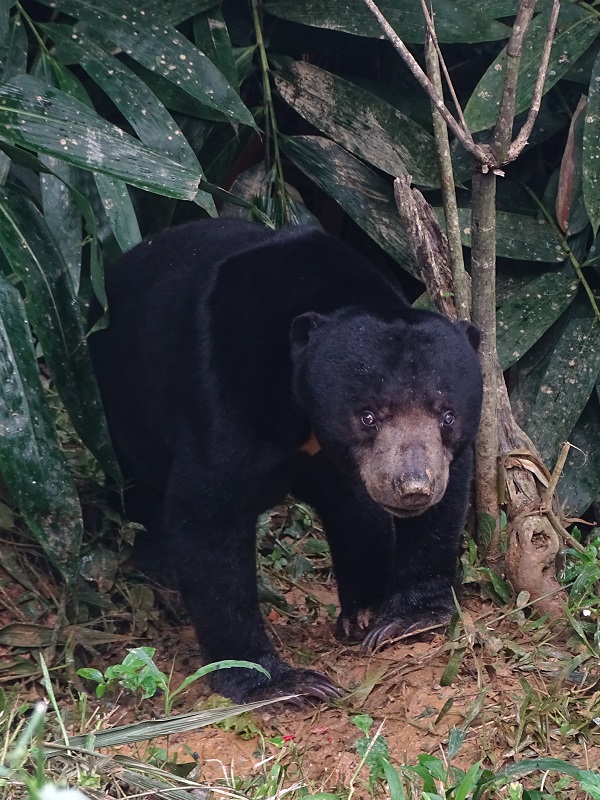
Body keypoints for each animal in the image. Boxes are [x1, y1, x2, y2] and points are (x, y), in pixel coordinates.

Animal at [89, 218, 483, 703]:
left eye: (447, 415)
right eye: (368, 415)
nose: (413, 487)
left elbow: (441, 497)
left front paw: (401, 619)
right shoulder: (225, 394)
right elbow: (207, 517)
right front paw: (279, 681)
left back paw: (363, 609)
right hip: (119, 402)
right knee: (137, 487)